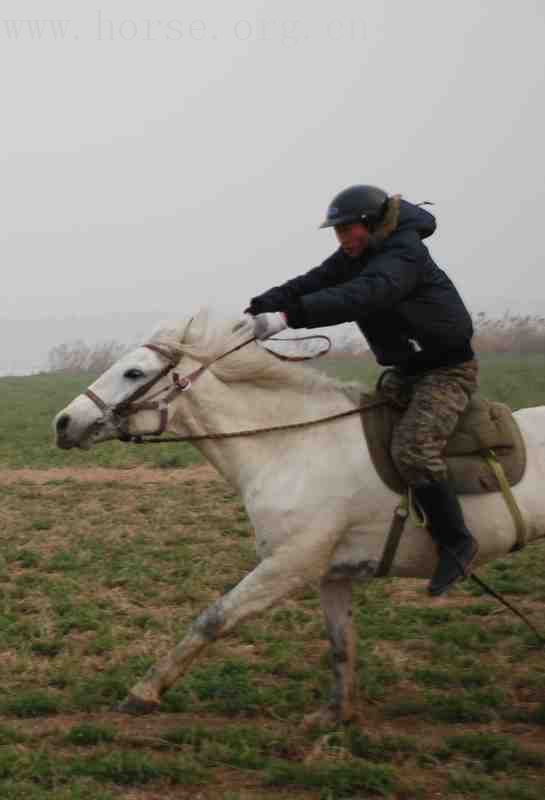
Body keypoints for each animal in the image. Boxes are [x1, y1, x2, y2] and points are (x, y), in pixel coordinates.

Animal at [53, 306, 544, 724]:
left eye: (134, 372)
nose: (63, 422)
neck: (294, 445)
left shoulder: (287, 565)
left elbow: (213, 619)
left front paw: (143, 692)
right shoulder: (333, 574)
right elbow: (341, 644)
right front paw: (336, 716)